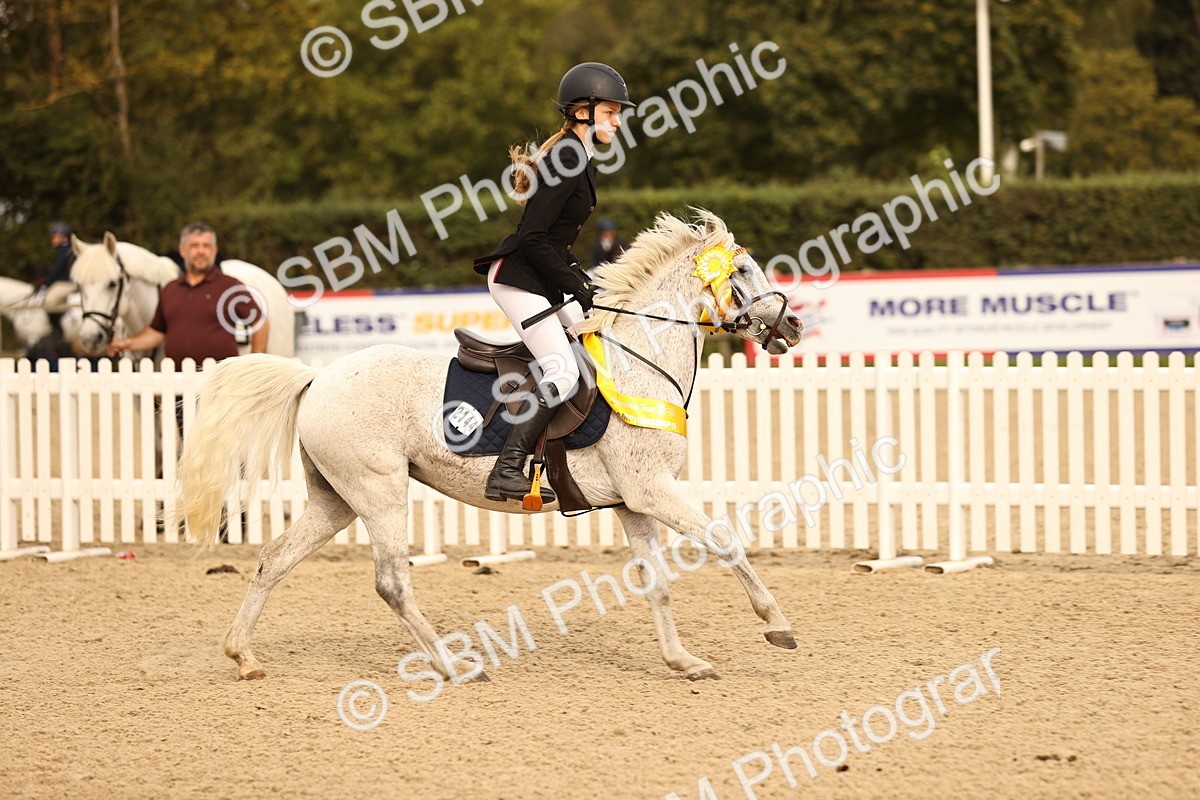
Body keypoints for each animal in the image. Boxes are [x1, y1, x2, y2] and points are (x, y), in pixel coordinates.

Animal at [176, 210, 804, 683]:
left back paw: (244, 657)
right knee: (391, 581)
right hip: (378, 491)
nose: (793, 327)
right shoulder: (652, 490)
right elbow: (725, 541)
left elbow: (657, 583)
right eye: (743, 268)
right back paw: (453, 666)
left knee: (273, 559)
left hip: (336, 499)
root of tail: (316, 377)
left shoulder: (633, 503)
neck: (639, 362)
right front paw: (776, 624)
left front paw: (682, 661)